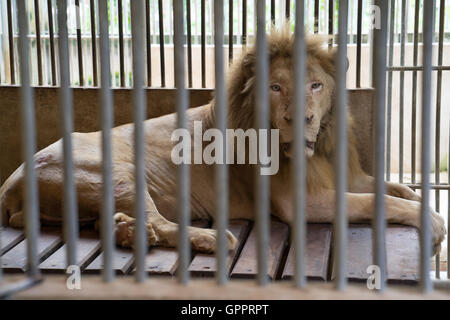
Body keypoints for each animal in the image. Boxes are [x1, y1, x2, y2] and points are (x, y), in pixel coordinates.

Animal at [0, 30, 446, 255]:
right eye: (276, 87)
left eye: (316, 85)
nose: (300, 119)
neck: (318, 147)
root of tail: (12, 184)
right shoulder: (301, 201)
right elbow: (378, 201)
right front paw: (434, 223)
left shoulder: (342, 175)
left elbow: (392, 187)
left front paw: (423, 202)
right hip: (117, 172)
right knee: (156, 221)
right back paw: (212, 239)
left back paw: (126, 233)